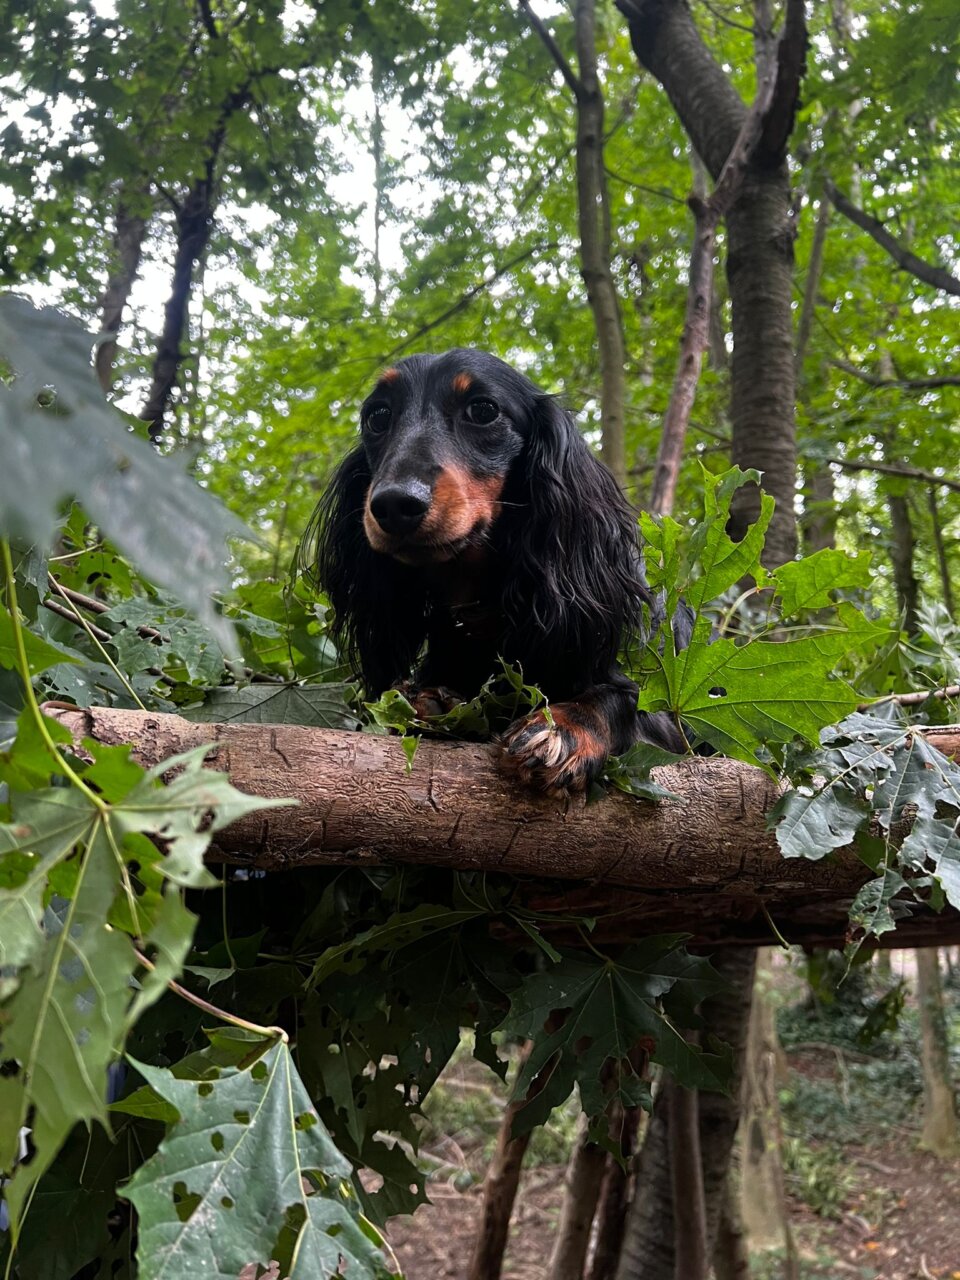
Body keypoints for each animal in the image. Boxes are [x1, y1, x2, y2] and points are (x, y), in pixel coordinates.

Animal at [308, 350, 691, 788]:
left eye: (483, 410)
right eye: (378, 416)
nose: (394, 505)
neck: (488, 609)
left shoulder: (662, 718)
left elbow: (621, 699)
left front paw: (563, 726)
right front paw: (433, 701)